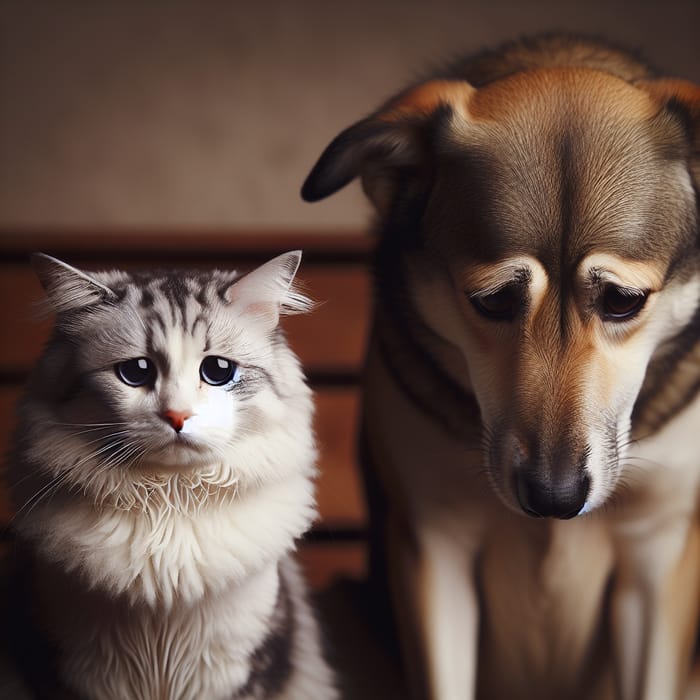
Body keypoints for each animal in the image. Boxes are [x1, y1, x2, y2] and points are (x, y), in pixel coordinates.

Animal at [6, 252, 336, 700]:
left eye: (218, 370)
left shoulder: (242, 669)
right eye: (136, 371)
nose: (177, 416)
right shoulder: (70, 666)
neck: (170, 501)